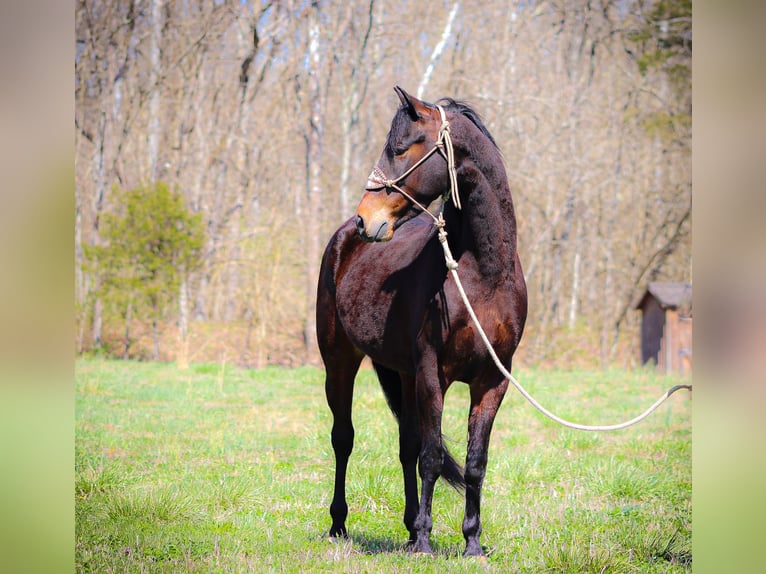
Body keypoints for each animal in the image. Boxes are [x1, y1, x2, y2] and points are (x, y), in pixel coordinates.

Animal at [316, 86, 528, 560]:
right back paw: (341, 525)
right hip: (340, 362)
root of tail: (342, 238)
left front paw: (471, 543)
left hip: (403, 373)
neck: (482, 273)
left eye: (399, 149)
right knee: (344, 438)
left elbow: (473, 462)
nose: (367, 219)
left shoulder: (492, 381)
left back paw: (410, 528)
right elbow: (432, 456)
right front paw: (428, 544)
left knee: (406, 445)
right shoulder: (434, 374)